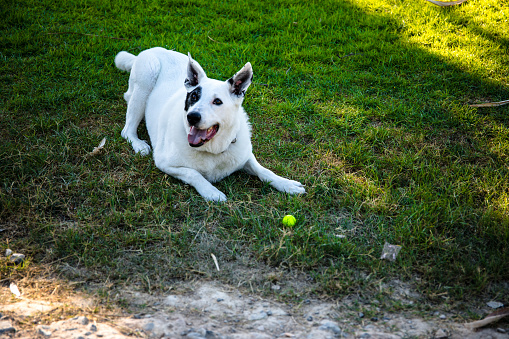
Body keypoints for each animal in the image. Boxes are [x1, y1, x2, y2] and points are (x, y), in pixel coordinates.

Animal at [115, 47, 306, 202]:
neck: (212, 150)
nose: (192, 117)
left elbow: (264, 171)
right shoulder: (164, 162)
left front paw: (286, 184)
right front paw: (211, 191)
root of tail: (150, 50)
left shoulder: (245, 155)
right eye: (193, 97)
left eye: (217, 101)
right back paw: (139, 144)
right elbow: (193, 173)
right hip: (145, 82)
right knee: (127, 129)